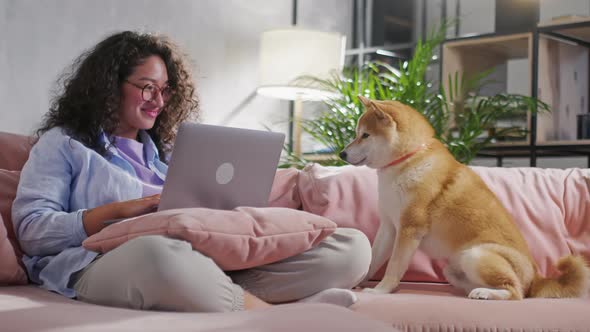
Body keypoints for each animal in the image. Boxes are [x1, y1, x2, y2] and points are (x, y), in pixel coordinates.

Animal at [340, 94, 588, 300]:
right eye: (356, 134)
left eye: (365, 135)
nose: (341, 153)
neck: (408, 161)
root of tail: (537, 278)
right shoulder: (390, 227)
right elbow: (372, 259)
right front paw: (357, 281)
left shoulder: (409, 228)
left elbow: (394, 266)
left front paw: (380, 290)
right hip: (453, 269)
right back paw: (477, 291)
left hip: (476, 256)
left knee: (516, 292)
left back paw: (486, 294)